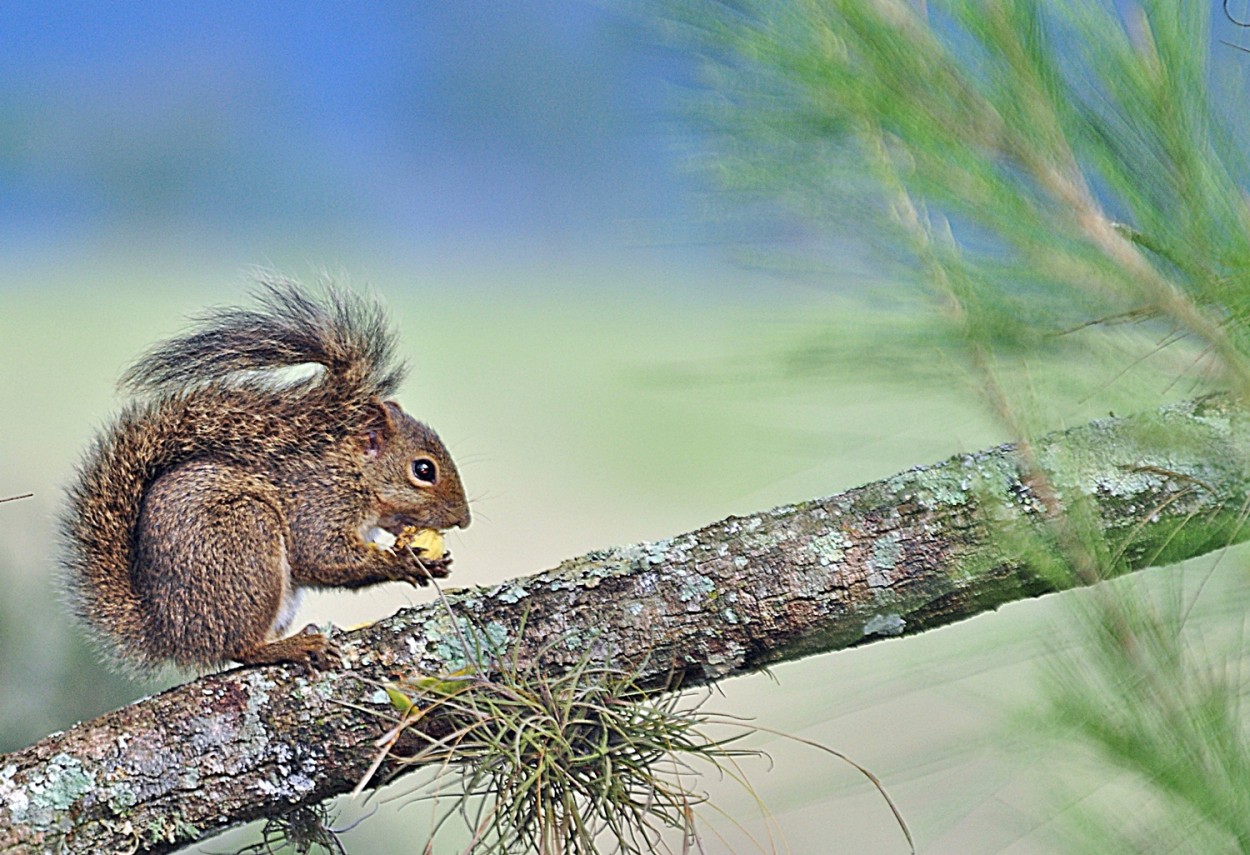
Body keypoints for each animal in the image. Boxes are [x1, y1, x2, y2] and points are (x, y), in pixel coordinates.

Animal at [58, 277, 470, 670]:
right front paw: (403, 562)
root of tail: (173, 632)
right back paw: (295, 646)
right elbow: (322, 557)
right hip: (246, 542)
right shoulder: (318, 505)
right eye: (423, 470)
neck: (351, 471)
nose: (463, 520)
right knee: (240, 646)